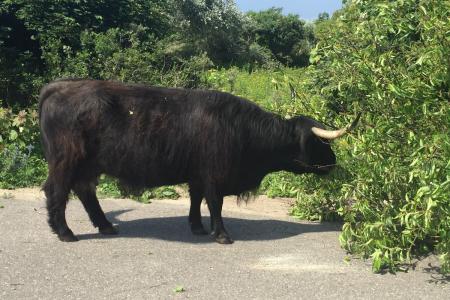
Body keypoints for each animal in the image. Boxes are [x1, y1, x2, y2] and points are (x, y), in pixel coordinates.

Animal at [38, 79, 358, 244]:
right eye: (321, 142)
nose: (334, 163)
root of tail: (59, 86)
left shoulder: (197, 174)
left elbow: (195, 199)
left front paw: (197, 227)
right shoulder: (215, 174)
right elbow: (215, 203)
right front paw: (221, 234)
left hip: (88, 165)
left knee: (85, 192)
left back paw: (105, 226)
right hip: (67, 161)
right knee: (57, 191)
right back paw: (65, 232)